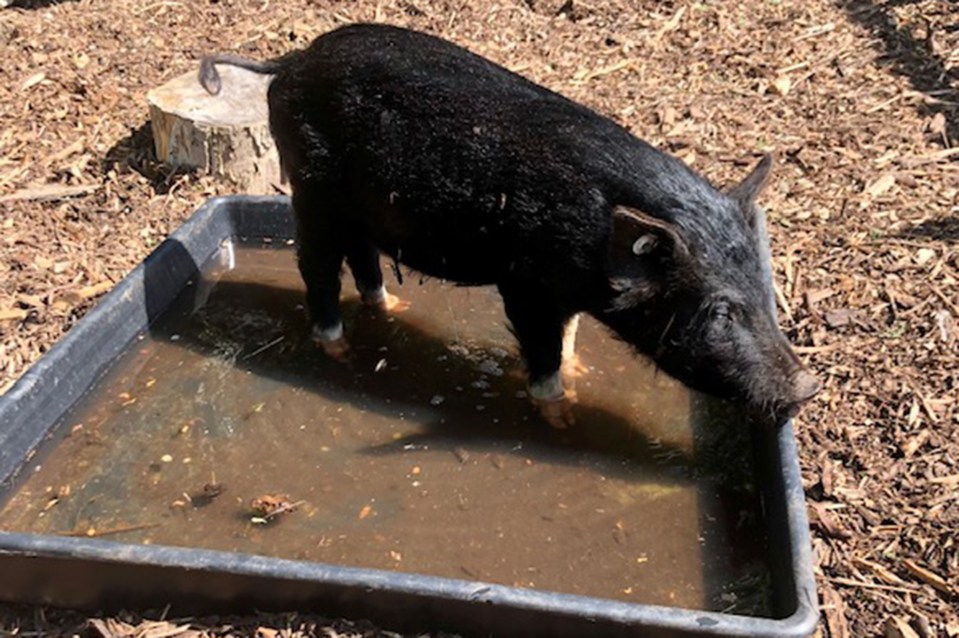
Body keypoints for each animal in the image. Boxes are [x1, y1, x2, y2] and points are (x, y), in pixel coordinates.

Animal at [199, 23, 820, 430]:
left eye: (765, 292)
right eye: (719, 311)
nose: (808, 385)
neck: (592, 238)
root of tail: (290, 61)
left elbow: (568, 337)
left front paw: (580, 370)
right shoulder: (526, 283)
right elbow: (541, 352)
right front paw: (564, 421)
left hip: (361, 206)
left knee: (364, 257)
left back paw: (391, 309)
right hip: (312, 190)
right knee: (317, 269)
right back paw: (338, 351)